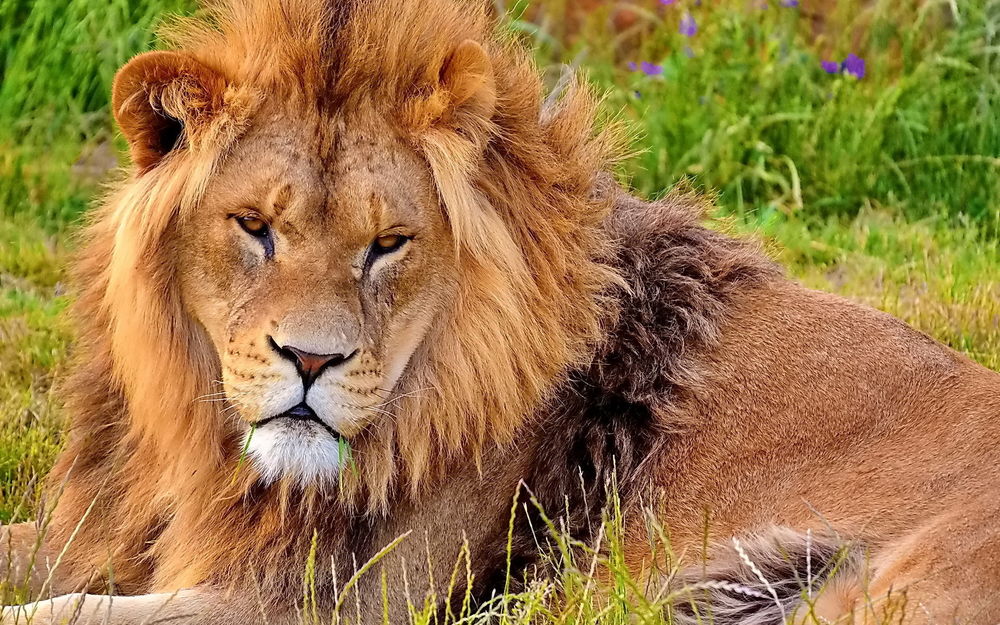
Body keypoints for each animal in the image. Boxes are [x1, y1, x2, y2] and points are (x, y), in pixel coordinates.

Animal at [3, 0, 1000, 623]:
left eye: (388, 243)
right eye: (255, 227)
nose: (312, 362)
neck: (207, 445)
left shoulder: (328, 602)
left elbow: (69, 610)